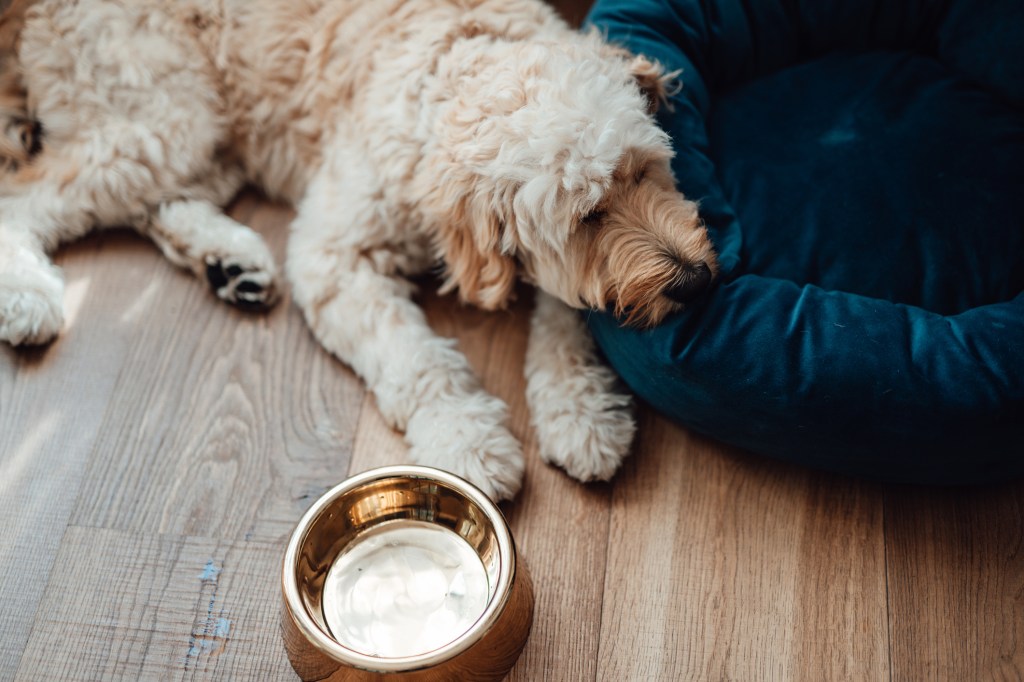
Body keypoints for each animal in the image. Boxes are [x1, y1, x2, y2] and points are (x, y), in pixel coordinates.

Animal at [2, 0, 720, 499]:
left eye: (644, 169)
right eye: (587, 215)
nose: (695, 282)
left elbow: (567, 313)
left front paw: (580, 410)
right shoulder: (333, 257)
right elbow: (414, 357)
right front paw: (467, 436)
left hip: (203, 131)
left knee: (151, 203)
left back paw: (230, 261)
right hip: (170, 116)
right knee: (29, 195)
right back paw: (28, 293)